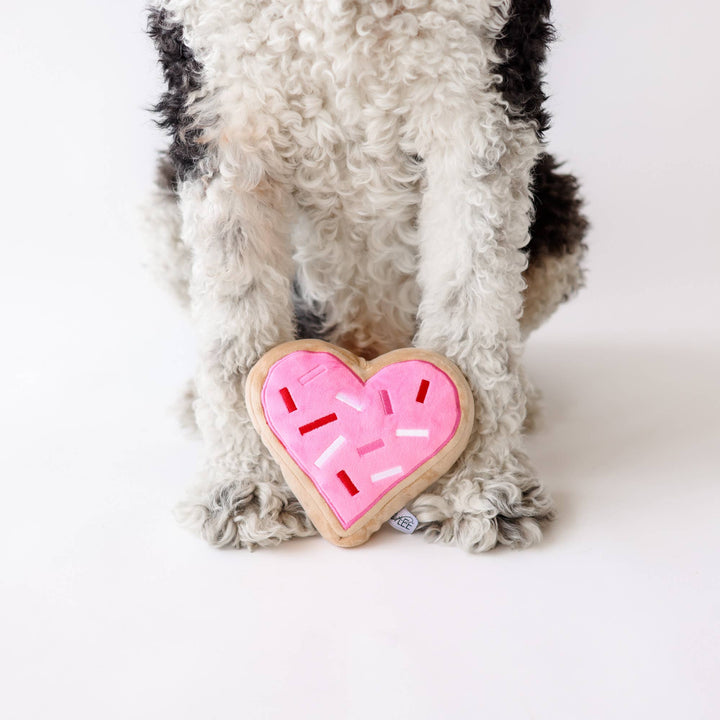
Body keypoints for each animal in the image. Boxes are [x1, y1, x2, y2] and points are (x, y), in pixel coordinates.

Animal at [143, 0, 588, 552]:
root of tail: (367, 348)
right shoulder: (219, 108)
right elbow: (235, 330)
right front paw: (247, 485)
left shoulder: (482, 97)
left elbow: (475, 312)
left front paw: (475, 486)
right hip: (162, 205)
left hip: (560, 216)